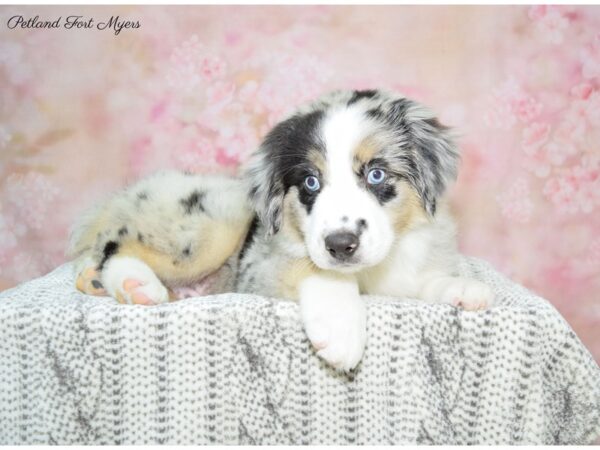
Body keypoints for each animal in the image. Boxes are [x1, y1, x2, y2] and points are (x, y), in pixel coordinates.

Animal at [70, 89, 494, 370]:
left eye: (376, 174)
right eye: (310, 182)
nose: (341, 245)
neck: (372, 271)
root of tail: (126, 194)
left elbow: (424, 282)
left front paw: (462, 289)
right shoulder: (260, 268)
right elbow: (316, 269)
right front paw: (340, 329)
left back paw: (95, 281)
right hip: (211, 219)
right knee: (115, 243)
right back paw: (134, 284)